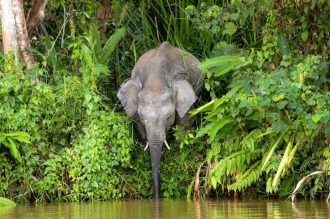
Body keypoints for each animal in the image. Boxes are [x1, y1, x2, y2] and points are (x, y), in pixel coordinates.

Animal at [116, 41, 204, 198]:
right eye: (143, 118)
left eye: (168, 117)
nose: (157, 196)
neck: (156, 81)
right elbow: (138, 126)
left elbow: (184, 120)